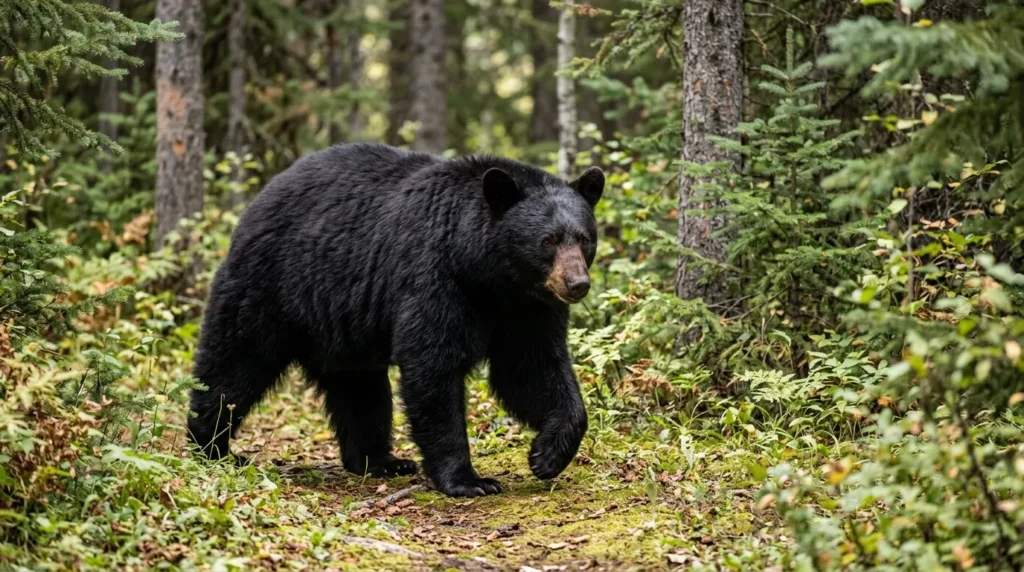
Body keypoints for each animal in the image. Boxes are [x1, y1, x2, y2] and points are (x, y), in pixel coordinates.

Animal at [188, 143, 604, 497]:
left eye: (584, 238)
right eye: (548, 240)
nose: (577, 284)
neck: (489, 276)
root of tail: (260, 198)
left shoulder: (527, 307)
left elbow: (532, 368)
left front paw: (546, 455)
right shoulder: (435, 276)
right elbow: (433, 367)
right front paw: (468, 480)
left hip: (341, 324)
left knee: (360, 388)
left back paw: (379, 461)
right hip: (271, 286)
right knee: (235, 363)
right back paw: (212, 448)